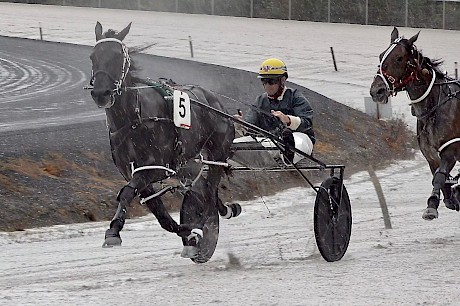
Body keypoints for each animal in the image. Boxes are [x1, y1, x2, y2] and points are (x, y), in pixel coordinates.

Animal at [90, 20, 241, 260]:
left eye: (117, 56)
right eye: (93, 56)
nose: (101, 93)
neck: (134, 118)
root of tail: (217, 103)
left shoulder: (156, 168)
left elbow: (126, 193)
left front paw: (113, 231)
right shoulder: (133, 172)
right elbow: (161, 215)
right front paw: (189, 234)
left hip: (216, 155)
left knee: (209, 193)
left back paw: (207, 224)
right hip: (186, 164)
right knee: (203, 190)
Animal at [368, 26, 460, 220]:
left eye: (399, 58)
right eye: (381, 56)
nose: (377, 91)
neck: (434, 106)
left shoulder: (451, 149)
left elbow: (440, 177)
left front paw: (431, 206)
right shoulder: (431, 155)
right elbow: (439, 178)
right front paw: (450, 198)